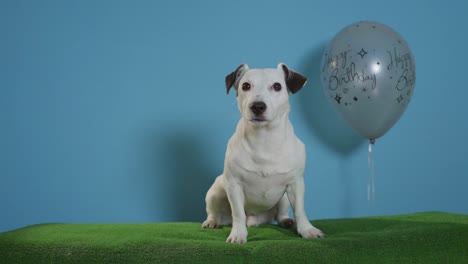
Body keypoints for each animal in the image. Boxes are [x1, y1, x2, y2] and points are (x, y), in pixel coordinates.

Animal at [203, 63, 324, 243]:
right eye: (245, 86)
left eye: (277, 86)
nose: (258, 106)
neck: (264, 139)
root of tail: (256, 220)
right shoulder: (234, 185)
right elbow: (238, 213)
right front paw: (238, 234)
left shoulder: (295, 183)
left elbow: (300, 210)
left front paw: (307, 229)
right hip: (216, 191)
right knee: (214, 211)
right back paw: (212, 221)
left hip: (283, 198)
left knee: (281, 213)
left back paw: (286, 221)